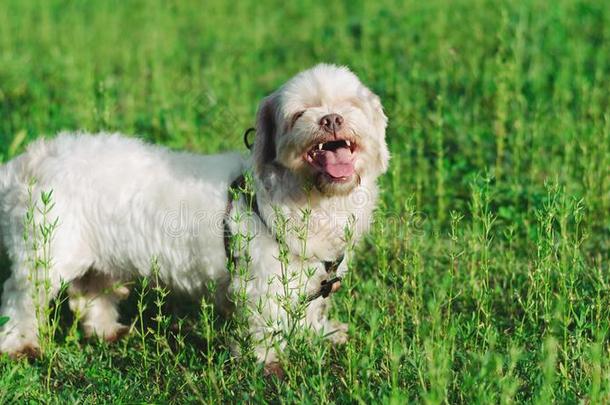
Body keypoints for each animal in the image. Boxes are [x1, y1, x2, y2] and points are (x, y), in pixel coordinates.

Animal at [0, 63, 388, 366]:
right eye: (298, 114)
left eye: (351, 105)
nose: (331, 118)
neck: (310, 194)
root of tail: (29, 161)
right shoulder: (261, 283)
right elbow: (265, 325)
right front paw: (268, 363)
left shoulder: (308, 279)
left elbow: (308, 312)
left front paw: (320, 335)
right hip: (45, 256)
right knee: (20, 298)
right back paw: (21, 345)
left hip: (97, 258)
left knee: (90, 293)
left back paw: (107, 331)